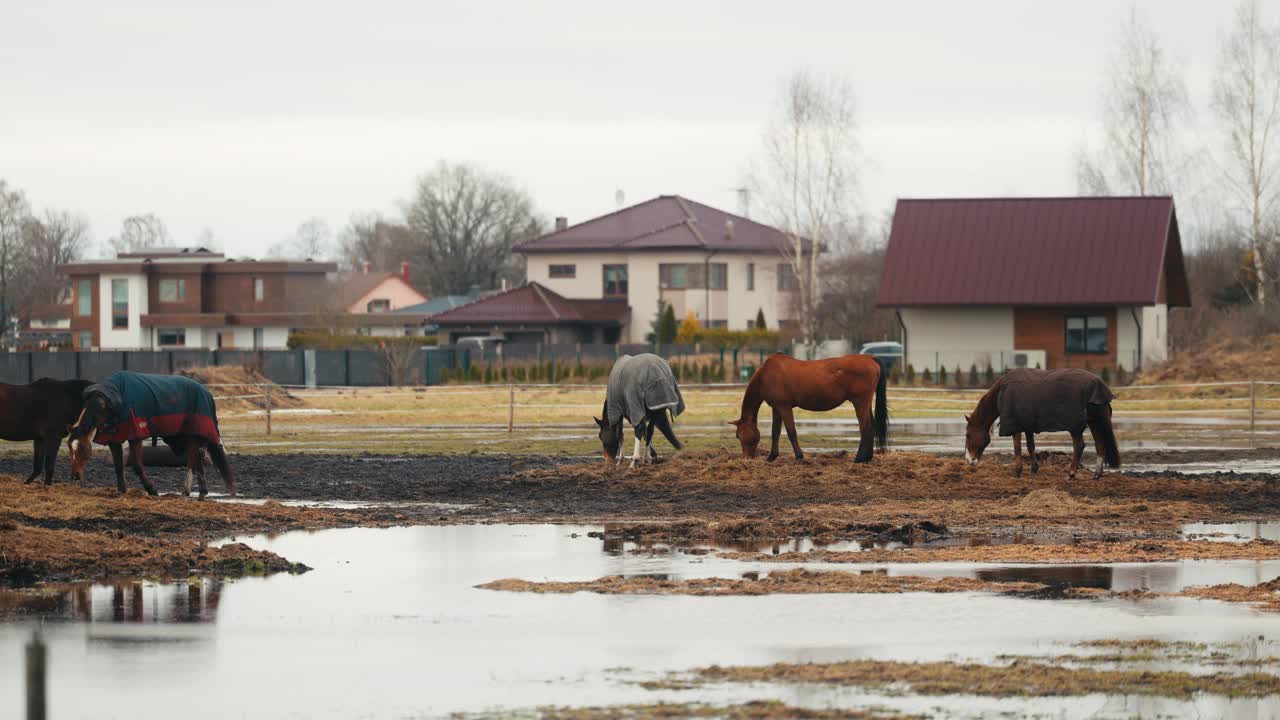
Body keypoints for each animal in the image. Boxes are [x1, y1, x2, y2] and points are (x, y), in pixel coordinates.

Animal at [68, 368, 236, 491]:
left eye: (82, 448)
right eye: (70, 448)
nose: (75, 475)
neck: (112, 402)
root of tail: (206, 392)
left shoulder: (135, 436)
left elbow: (137, 466)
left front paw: (151, 489)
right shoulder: (113, 439)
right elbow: (118, 466)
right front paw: (122, 490)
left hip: (193, 435)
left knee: (194, 460)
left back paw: (192, 490)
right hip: (186, 437)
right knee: (196, 459)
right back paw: (199, 492)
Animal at [727, 351, 885, 458]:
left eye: (739, 435)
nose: (746, 458)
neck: (766, 375)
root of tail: (870, 358)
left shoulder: (784, 407)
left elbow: (791, 432)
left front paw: (799, 456)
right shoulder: (776, 408)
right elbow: (775, 432)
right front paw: (772, 456)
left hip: (860, 403)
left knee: (865, 428)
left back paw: (860, 459)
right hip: (865, 404)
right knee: (870, 426)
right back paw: (867, 458)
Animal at [962, 366, 1121, 479]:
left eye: (968, 435)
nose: (969, 460)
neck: (1002, 391)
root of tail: (1098, 384)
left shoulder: (1015, 426)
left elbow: (1017, 448)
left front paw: (1018, 471)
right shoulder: (1028, 425)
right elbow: (1030, 446)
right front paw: (1034, 469)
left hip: (1076, 426)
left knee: (1079, 446)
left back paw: (1071, 474)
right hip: (1094, 422)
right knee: (1100, 445)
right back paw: (1097, 474)